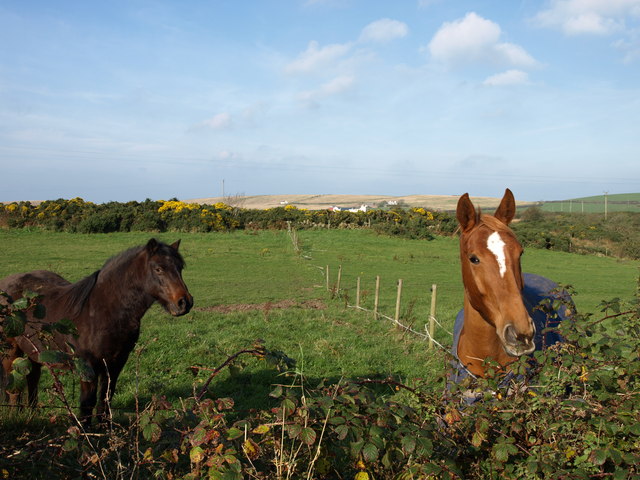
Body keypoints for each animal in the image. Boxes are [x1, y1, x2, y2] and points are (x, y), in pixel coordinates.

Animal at [0, 239, 192, 424]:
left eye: (180, 267)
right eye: (158, 269)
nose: (184, 303)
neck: (103, 311)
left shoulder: (115, 363)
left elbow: (105, 400)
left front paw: (105, 429)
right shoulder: (88, 366)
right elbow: (87, 404)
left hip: (34, 352)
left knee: (32, 379)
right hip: (11, 351)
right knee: (12, 386)